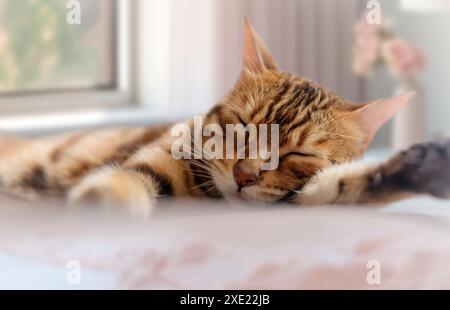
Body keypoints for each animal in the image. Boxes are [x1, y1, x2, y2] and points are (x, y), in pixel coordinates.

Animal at [0, 18, 448, 218]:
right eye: (243, 128)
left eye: (298, 155)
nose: (244, 176)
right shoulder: (158, 158)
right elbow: (131, 178)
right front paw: (107, 201)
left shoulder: (296, 196)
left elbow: (340, 185)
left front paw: (422, 167)